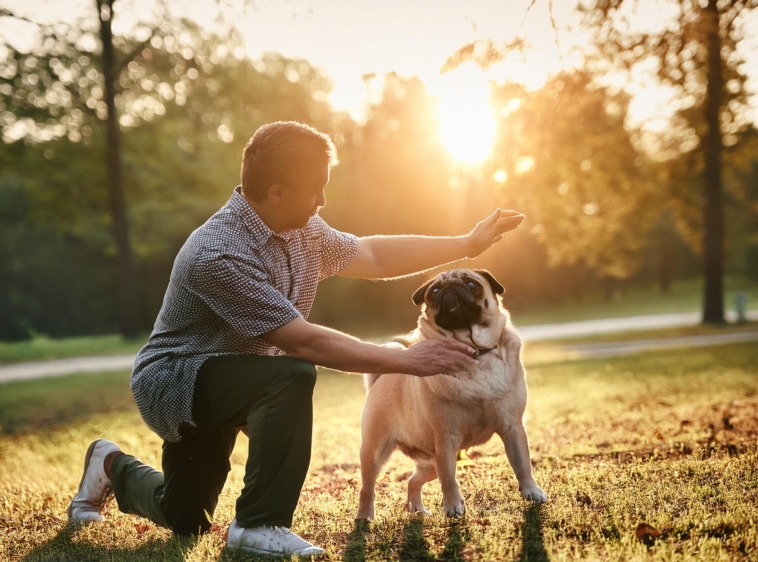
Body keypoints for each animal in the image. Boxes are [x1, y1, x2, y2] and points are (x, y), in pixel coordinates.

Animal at [356, 266, 548, 516]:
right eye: (434, 291)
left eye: (471, 283)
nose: (449, 287)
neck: (476, 354)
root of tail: (380, 379)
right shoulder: (446, 438)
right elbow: (449, 479)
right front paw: (453, 506)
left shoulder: (512, 427)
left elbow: (523, 464)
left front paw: (532, 491)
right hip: (376, 451)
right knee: (367, 487)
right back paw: (365, 516)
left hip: (430, 462)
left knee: (412, 480)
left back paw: (417, 509)